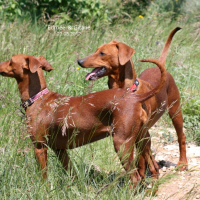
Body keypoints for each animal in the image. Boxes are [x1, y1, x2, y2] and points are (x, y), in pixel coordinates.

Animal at [0, 54, 166, 186]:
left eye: (10, 60)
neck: (38, 98)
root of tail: (135, 97)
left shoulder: (40, 147)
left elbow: (44, 177)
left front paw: (43, 190)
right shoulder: (61, 151)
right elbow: (73, 175)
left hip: (121, 143)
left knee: (135, 177)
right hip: (143, 140)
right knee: (152, 169)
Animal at [77, 27, 188, 177]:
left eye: (102, 53)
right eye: (96, 50)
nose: (79, 61)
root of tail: (159, 67)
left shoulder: (140, 132)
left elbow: (142, 154)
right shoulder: (137, 132)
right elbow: (141, 155)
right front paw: (144, 172)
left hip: (175, 112)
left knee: (181, 137)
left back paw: (182, 163)